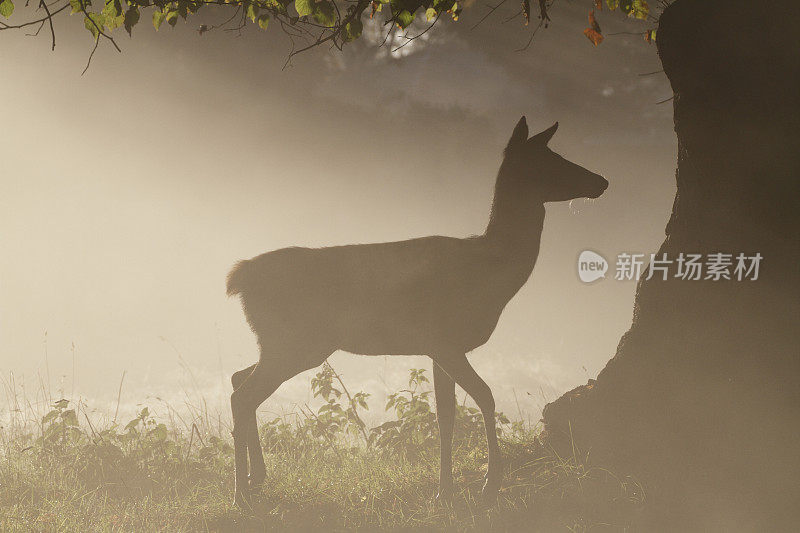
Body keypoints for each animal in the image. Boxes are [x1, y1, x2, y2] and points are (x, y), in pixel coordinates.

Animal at [225, 114, 608, 504]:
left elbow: (446, 416)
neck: (490, 272)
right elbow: (484, 397)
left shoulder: (437, 349)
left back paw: (257, 478)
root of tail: (239, 278)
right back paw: (241, 493)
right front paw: (489, 483)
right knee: (242, 395)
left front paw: (445, 491)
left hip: (285, 343)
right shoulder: (445, 340)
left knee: (239, 378)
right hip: (296, 341)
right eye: (551, 159)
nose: (602, 181)